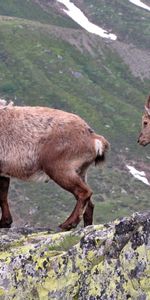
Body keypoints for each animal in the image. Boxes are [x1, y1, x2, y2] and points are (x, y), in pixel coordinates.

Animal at [0, 101, 109, 230]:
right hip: (80, 171)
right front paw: (5, 222)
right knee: (90, 203)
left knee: (84, 192)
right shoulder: (3, 173)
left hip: (58, 168)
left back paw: (67, 224)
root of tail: (93, 138)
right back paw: (86, 226)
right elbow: (3, 196)